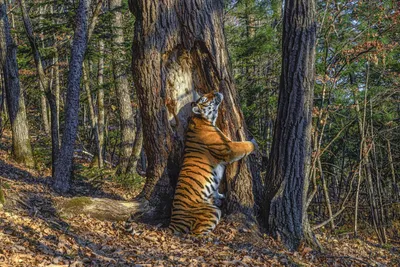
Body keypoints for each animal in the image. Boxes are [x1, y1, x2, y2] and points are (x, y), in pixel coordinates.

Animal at [169, 91, 256, 236]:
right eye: (205, 99)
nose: (215, 91)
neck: (203, 119)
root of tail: (173, 222)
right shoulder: (228, 147)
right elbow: (243, 145)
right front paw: (254, 142)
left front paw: (221, 194)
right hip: (212, 211)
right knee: (195, 234)